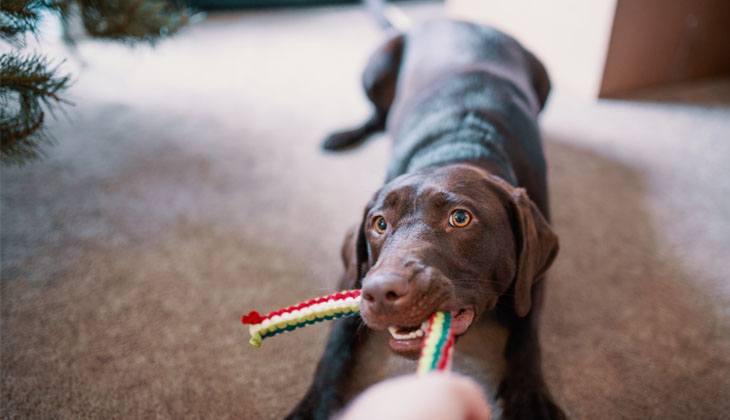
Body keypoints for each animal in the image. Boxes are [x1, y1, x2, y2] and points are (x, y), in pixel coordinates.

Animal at [284, 13, 564, 420]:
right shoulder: (355, 272)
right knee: (378, 117)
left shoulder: (533, 274)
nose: (381, 292)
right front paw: (314, 404)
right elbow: (335, 344)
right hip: (377, 64)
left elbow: (526, 330)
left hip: (545, 79)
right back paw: (344, 135)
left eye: (460, 218)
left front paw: (528, 396)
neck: (460, 145)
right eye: (379, 224)